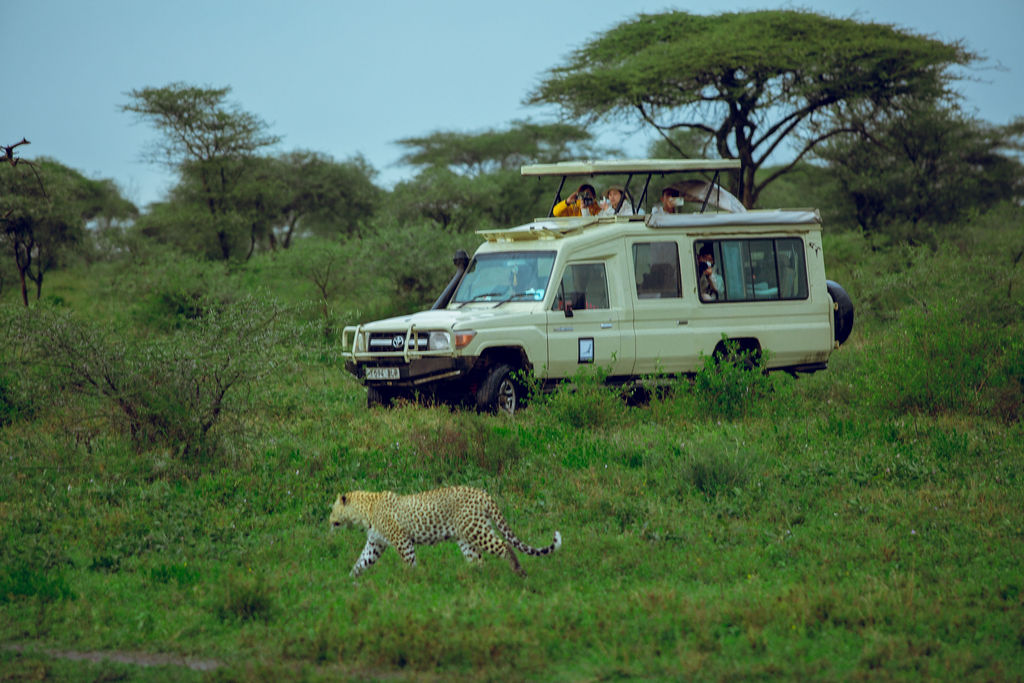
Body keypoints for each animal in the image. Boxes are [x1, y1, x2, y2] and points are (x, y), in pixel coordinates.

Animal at [329, 485, 561, 577]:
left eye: (332, 509)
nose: (329, 521)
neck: (365, 510)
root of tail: (483, 493)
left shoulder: (402, 541)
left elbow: (409, 562)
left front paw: (413, 581)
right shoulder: (375, 543)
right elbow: (361, 562)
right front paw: (349, 581)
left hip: (476, 530)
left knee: (503, 546)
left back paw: (519, 572)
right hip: (469, 536)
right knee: (478, 560)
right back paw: (474, 579)